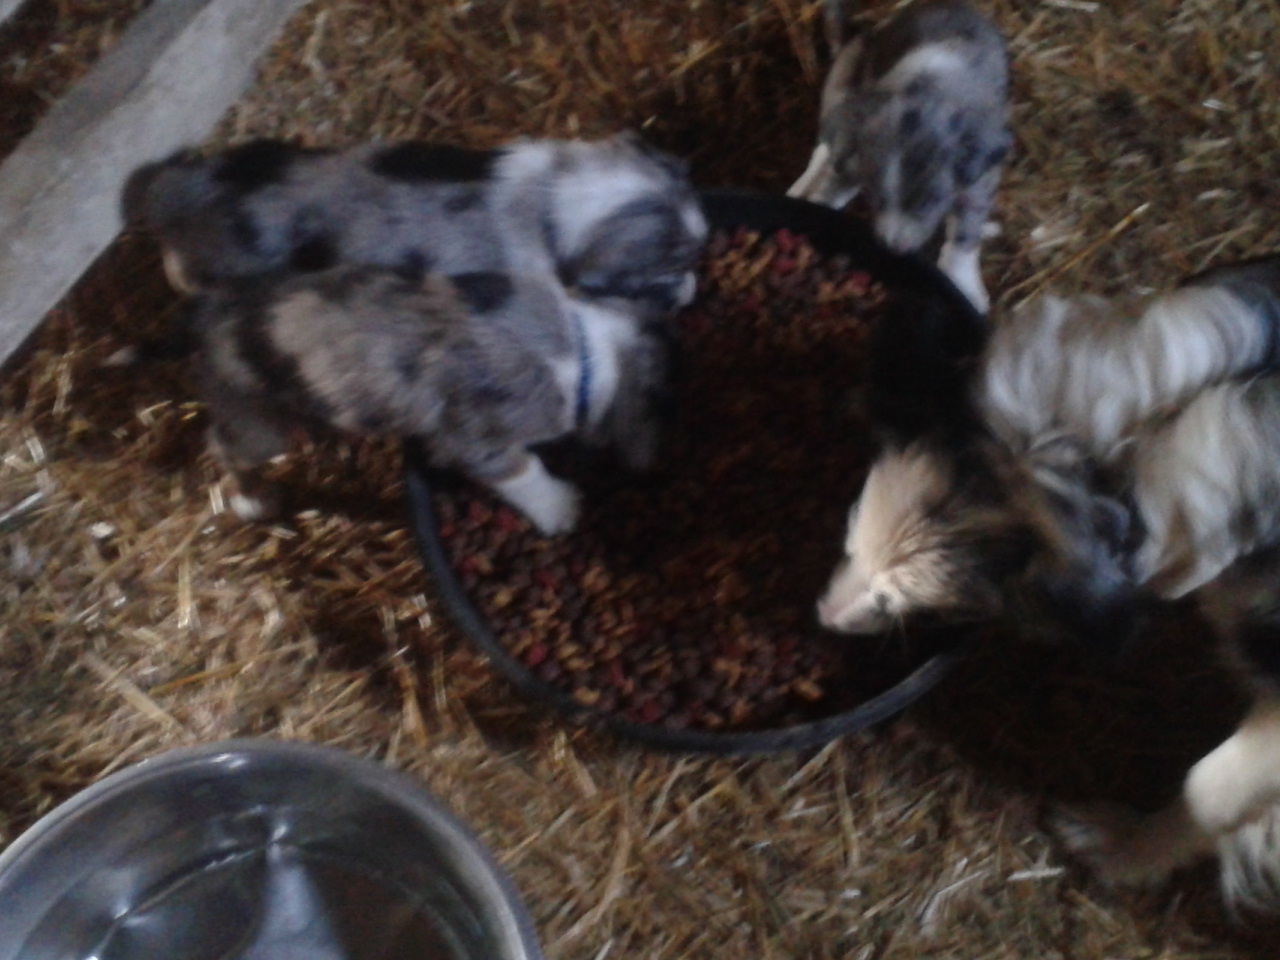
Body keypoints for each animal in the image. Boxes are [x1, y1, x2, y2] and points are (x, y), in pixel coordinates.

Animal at [193, 265, 670, 535]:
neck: (583, 350)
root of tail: (210, 311)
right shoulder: (477, 440)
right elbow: (525, 469)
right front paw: (559, 508)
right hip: (258, 422)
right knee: (222, 444)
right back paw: (253, 500)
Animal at [787, 0, 1011, 312]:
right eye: (875, 196)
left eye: (930, 201)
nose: (894, 248)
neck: (927, 87)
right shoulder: (851, 154)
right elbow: (829, 190)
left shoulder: (980, 179)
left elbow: (965, 235)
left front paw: (966, 287)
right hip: (840, 82)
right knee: (823, 150)